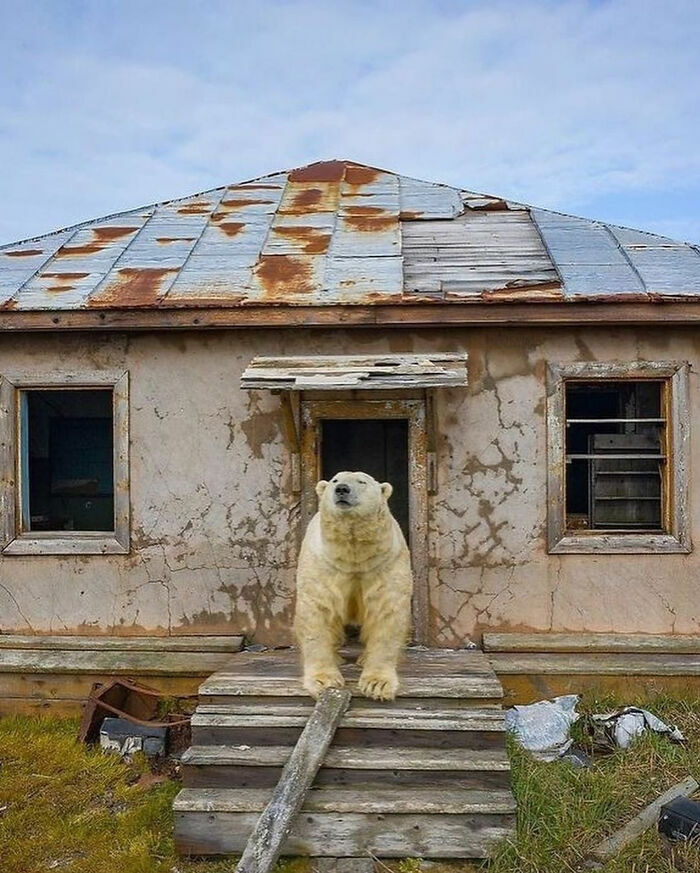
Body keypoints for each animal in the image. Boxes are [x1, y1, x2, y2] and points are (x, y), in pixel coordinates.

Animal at [293, 470, 413, 701]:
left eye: (362, 481)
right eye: (335, 480)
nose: (342, 489)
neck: (353, 555)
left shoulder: (385, 563)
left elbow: (386, 613)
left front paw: (377, 684)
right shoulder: (323, 564)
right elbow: (317, 612)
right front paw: (324, 680)